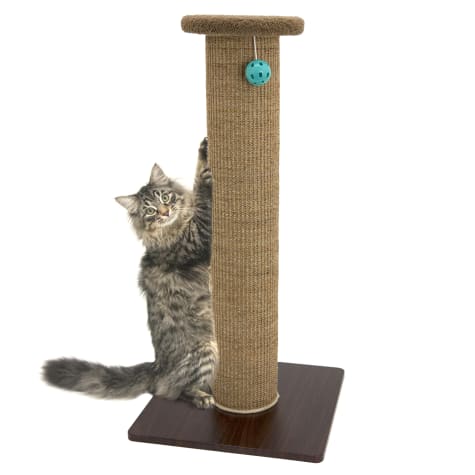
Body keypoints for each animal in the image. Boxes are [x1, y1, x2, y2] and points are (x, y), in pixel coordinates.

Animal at [43, 137, 217, 409]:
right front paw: (205, 176)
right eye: (150, 211)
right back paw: (203, 398)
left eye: (165, 196)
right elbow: (201, 198)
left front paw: (204, 150)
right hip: (205, 348)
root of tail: (156, 367)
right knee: (173, 391)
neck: (176, 226)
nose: (165, 212)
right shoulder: (196, 238)